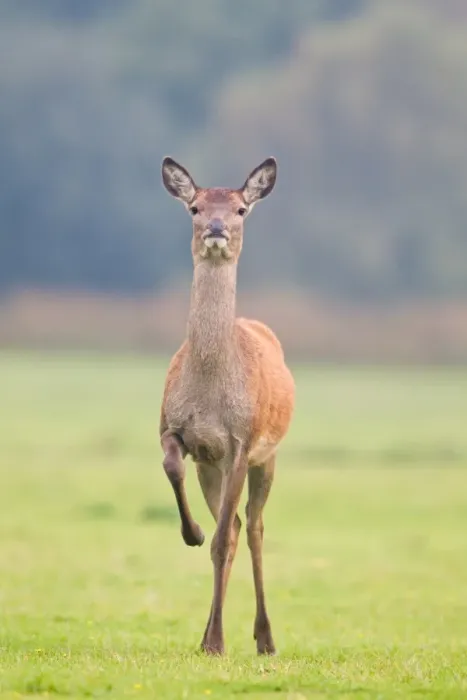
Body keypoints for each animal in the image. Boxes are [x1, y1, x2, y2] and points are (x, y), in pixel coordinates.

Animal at [159, 156, 295, 656]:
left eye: (240, 209)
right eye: (194, 207)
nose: (216, 229)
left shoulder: (241, 441)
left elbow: (224, 541)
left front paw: (219, 642)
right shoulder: (178, 431)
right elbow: (171, 467)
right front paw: (192, 532)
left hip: (268, 455)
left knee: (253, 528)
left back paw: (264, 638)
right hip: (211, 467)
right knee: (235, 526)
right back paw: (208, 635)